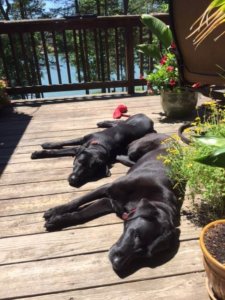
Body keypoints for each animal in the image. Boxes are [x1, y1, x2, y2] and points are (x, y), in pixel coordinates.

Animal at [43, 133, 182, 272]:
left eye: (145, 254)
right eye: (137, 235)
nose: (117, 264)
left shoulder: (108, 203)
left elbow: (81, 214)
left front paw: (57, 220)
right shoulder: (107, 187)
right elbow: (78, 201)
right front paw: (55, 211)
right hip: (135, 149)